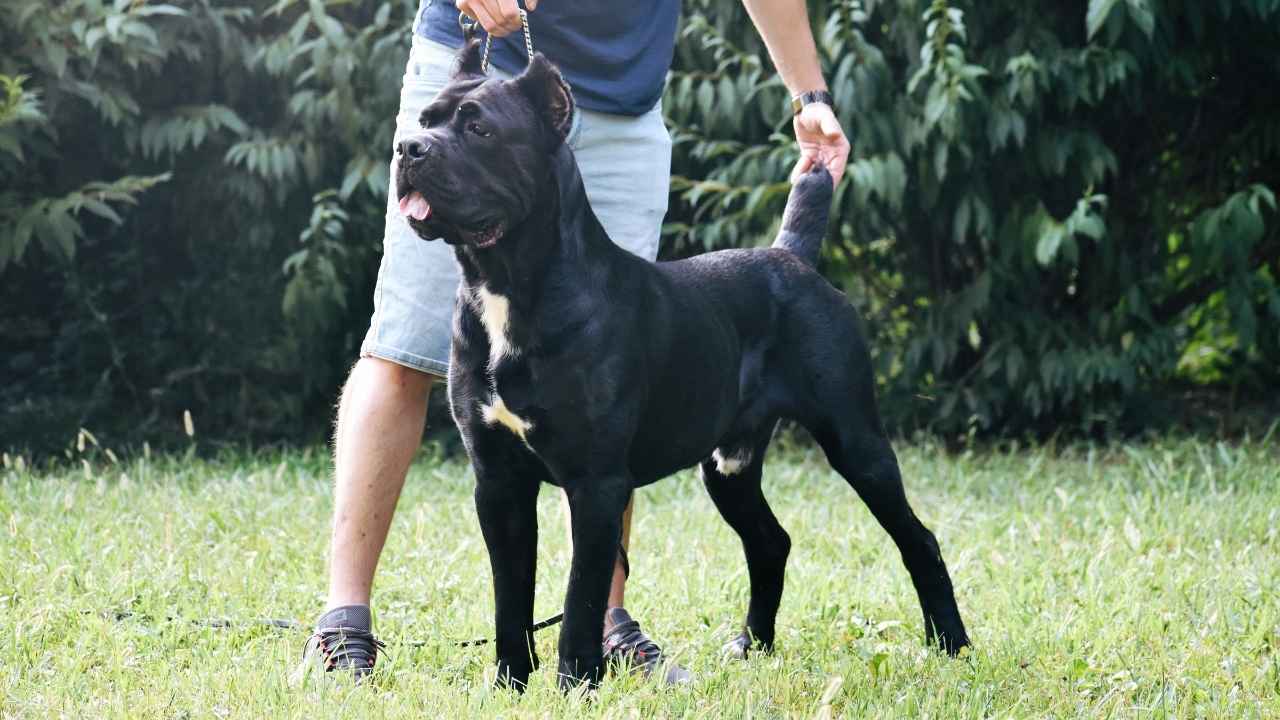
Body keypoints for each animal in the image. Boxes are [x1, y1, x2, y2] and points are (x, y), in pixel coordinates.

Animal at [394, 40, 962, 691]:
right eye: (425, 119)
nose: (408, 148)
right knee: (771, 542)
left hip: (855, 440)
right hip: (728, 466)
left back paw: (951, 644)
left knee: (918, 538)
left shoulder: (595, 483)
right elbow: (509, 597)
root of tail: (791, 257)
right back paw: (751, 647)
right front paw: (509, 685)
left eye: (479, 128)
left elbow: (581, 599)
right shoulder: (497, 481)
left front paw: (575, 686)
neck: (507, 283)